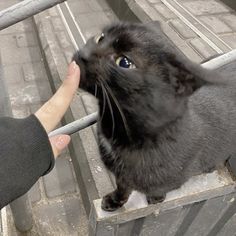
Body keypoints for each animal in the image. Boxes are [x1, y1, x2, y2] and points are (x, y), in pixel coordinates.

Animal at [74, 21, 236, 211]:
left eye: (124, 62)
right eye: (101, 37)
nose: (83, 53)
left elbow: (156, 189)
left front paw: (155, 199)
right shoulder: (122, 175)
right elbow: (123, 187)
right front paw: (114, 201)